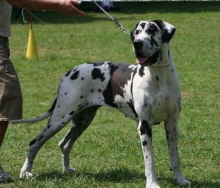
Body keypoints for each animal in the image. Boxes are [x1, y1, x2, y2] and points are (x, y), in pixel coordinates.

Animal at [10, 19, 190, 187]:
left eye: (152, 30)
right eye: (137, 32)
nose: (137, 43)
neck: (160, 77)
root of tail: (69, 72)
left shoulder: (172, 123)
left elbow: (175, 157)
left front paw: (180, 179)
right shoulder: (144, 125)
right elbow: (149, 160)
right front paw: (152, 184)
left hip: (82, 120)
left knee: (65, 144)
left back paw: (67, 170)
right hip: (59, 118)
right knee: (35, 143)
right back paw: (25, 172)